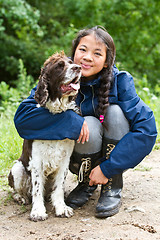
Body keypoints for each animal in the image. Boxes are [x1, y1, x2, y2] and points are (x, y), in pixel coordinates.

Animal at [8, 52, 81, 221]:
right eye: (59, 66)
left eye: (71, 62)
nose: (78, 67)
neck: (57, 115)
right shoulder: (36, 161)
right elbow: (36, 188)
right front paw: (38, 211)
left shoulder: (64, 160)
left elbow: (59, 186)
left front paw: (61, 208)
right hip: (17, 168)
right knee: (17, 191)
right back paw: (21, 198)